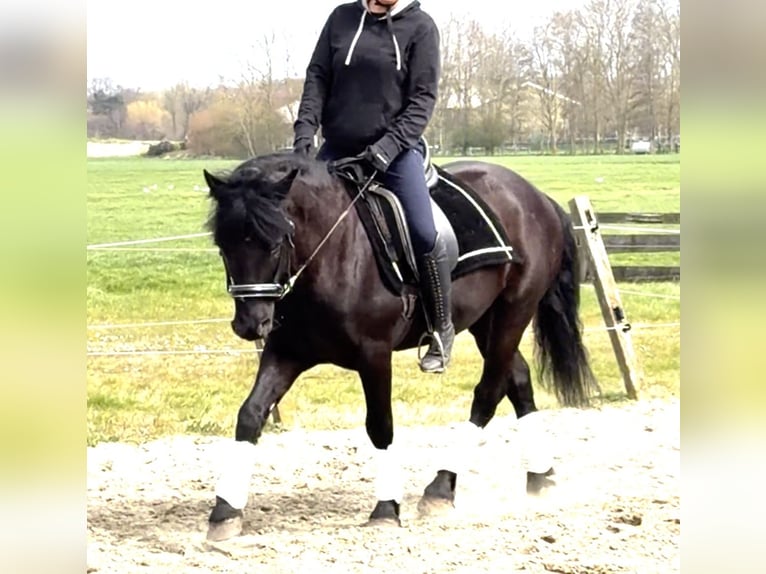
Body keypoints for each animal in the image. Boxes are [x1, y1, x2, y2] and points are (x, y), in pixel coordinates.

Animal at [202, 151, 596, 541]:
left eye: (274, 243)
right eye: (222, 246)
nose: (250, 324)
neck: (332, 251)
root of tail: (536, 196)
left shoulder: (374, 354)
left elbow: (380, 425)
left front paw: (386, 508)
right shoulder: (287, 352)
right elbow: (250, 415)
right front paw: (225, 511)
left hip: (513, 312)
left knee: (488, 393)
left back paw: (441, 489)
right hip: (485, 322)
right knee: (517, 380)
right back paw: (540, 478)